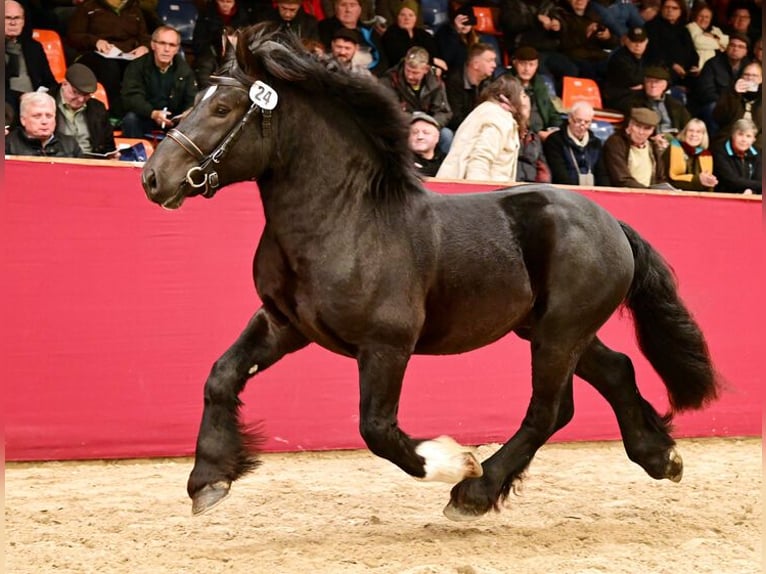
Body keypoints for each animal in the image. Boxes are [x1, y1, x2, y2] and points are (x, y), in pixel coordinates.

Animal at [141, 24, 720, 521]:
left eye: (222, 107)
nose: (153, 178)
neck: (343, 218)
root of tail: (611, 221)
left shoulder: (387, 345)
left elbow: (376, 428)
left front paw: (453, 461)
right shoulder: (284, 325)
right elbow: (221, 376)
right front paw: (208, 481)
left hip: (559, 334)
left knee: (549, 411)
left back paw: (474, 492)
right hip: (552, 330)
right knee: (615, 371)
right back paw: (660, 457)